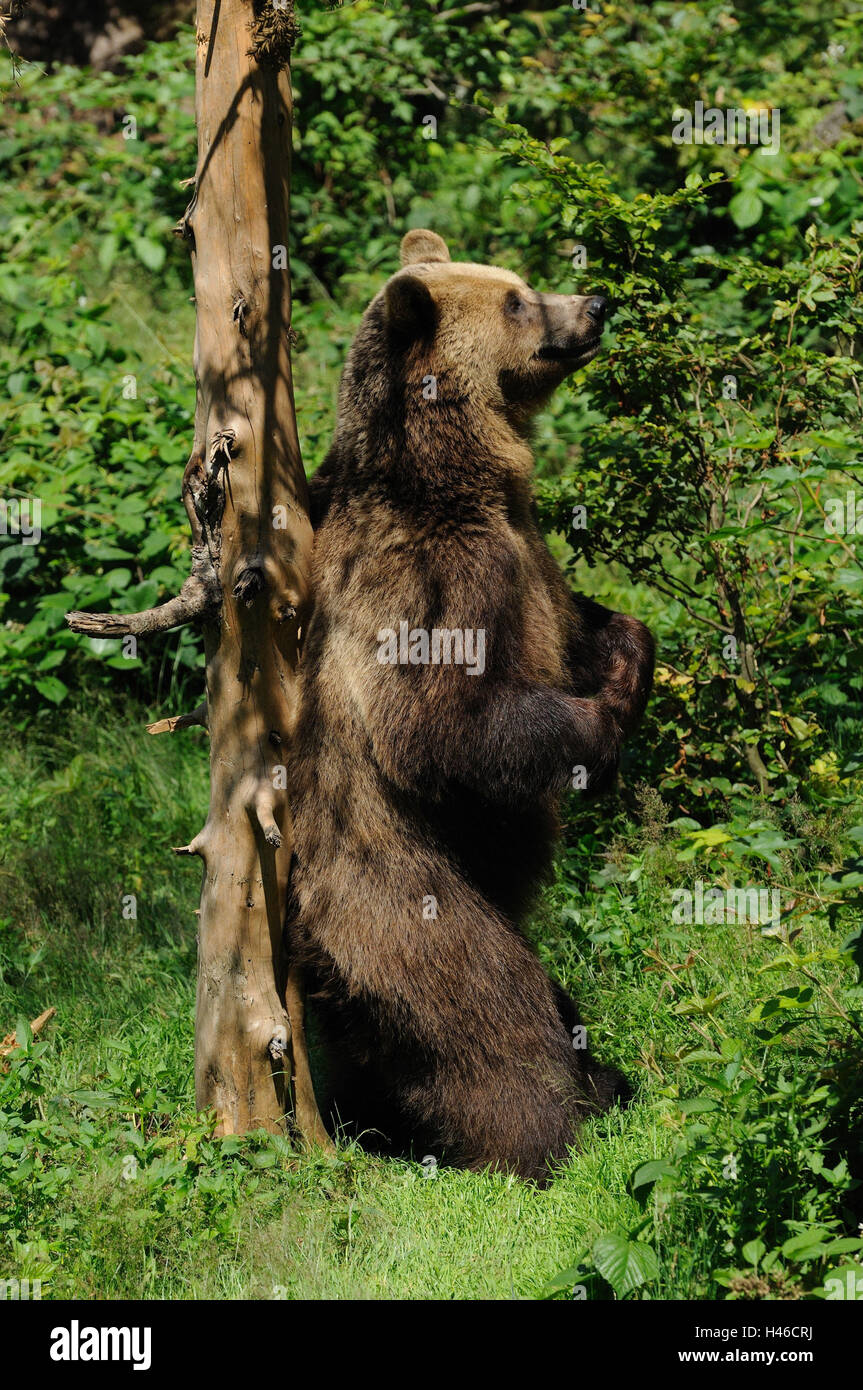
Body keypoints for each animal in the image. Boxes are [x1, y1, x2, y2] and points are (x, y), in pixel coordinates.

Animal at [284, 230, 653, 1184]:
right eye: (518, 301)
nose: (593, 302)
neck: (461, 474)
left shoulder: (531, 555)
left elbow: (590, 621)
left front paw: (629, 649)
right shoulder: (431, 576)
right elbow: (443, 726)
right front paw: (599, 729)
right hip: (405, 896)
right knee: (492, 1010)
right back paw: (554, 1133)